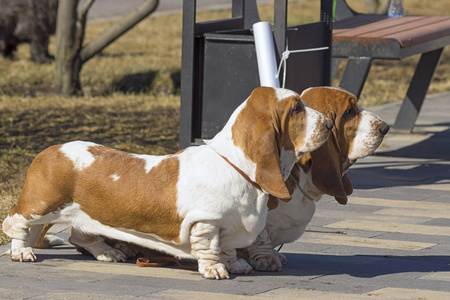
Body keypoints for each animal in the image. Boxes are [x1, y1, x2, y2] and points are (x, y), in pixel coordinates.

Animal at [1, 86, 332, 278]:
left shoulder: (230, 226)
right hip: (40, 204)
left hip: (85, 215)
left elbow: (228, 249)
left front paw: (236, 265)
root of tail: (49, 150)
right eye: (296, 108)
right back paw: (22, 252)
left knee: (79, 235)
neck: (236, 166)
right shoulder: (206, 222)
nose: (329, 123)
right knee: (16, 223)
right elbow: (210, 247)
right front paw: (215, 270)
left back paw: (109, 253)